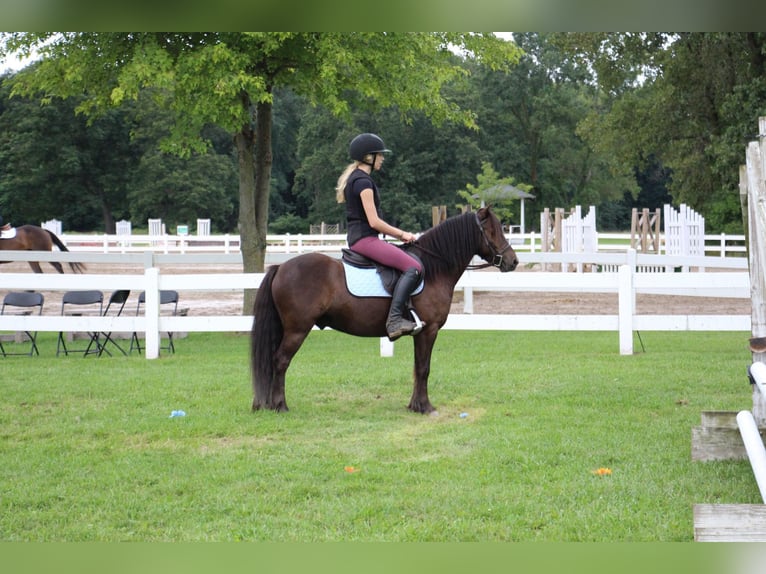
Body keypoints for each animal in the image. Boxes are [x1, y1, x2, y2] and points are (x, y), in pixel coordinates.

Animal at [254, 209, 520, 416]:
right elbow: (424, 368)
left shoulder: (420, 333)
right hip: (297, 330)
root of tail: (280, 268)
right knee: (281, 361)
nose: (513, 261)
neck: (434, 269)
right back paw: (280, 406)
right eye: (493, 231)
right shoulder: (430, 330)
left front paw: (415, 405)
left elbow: (417, 367)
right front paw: (426, 407)